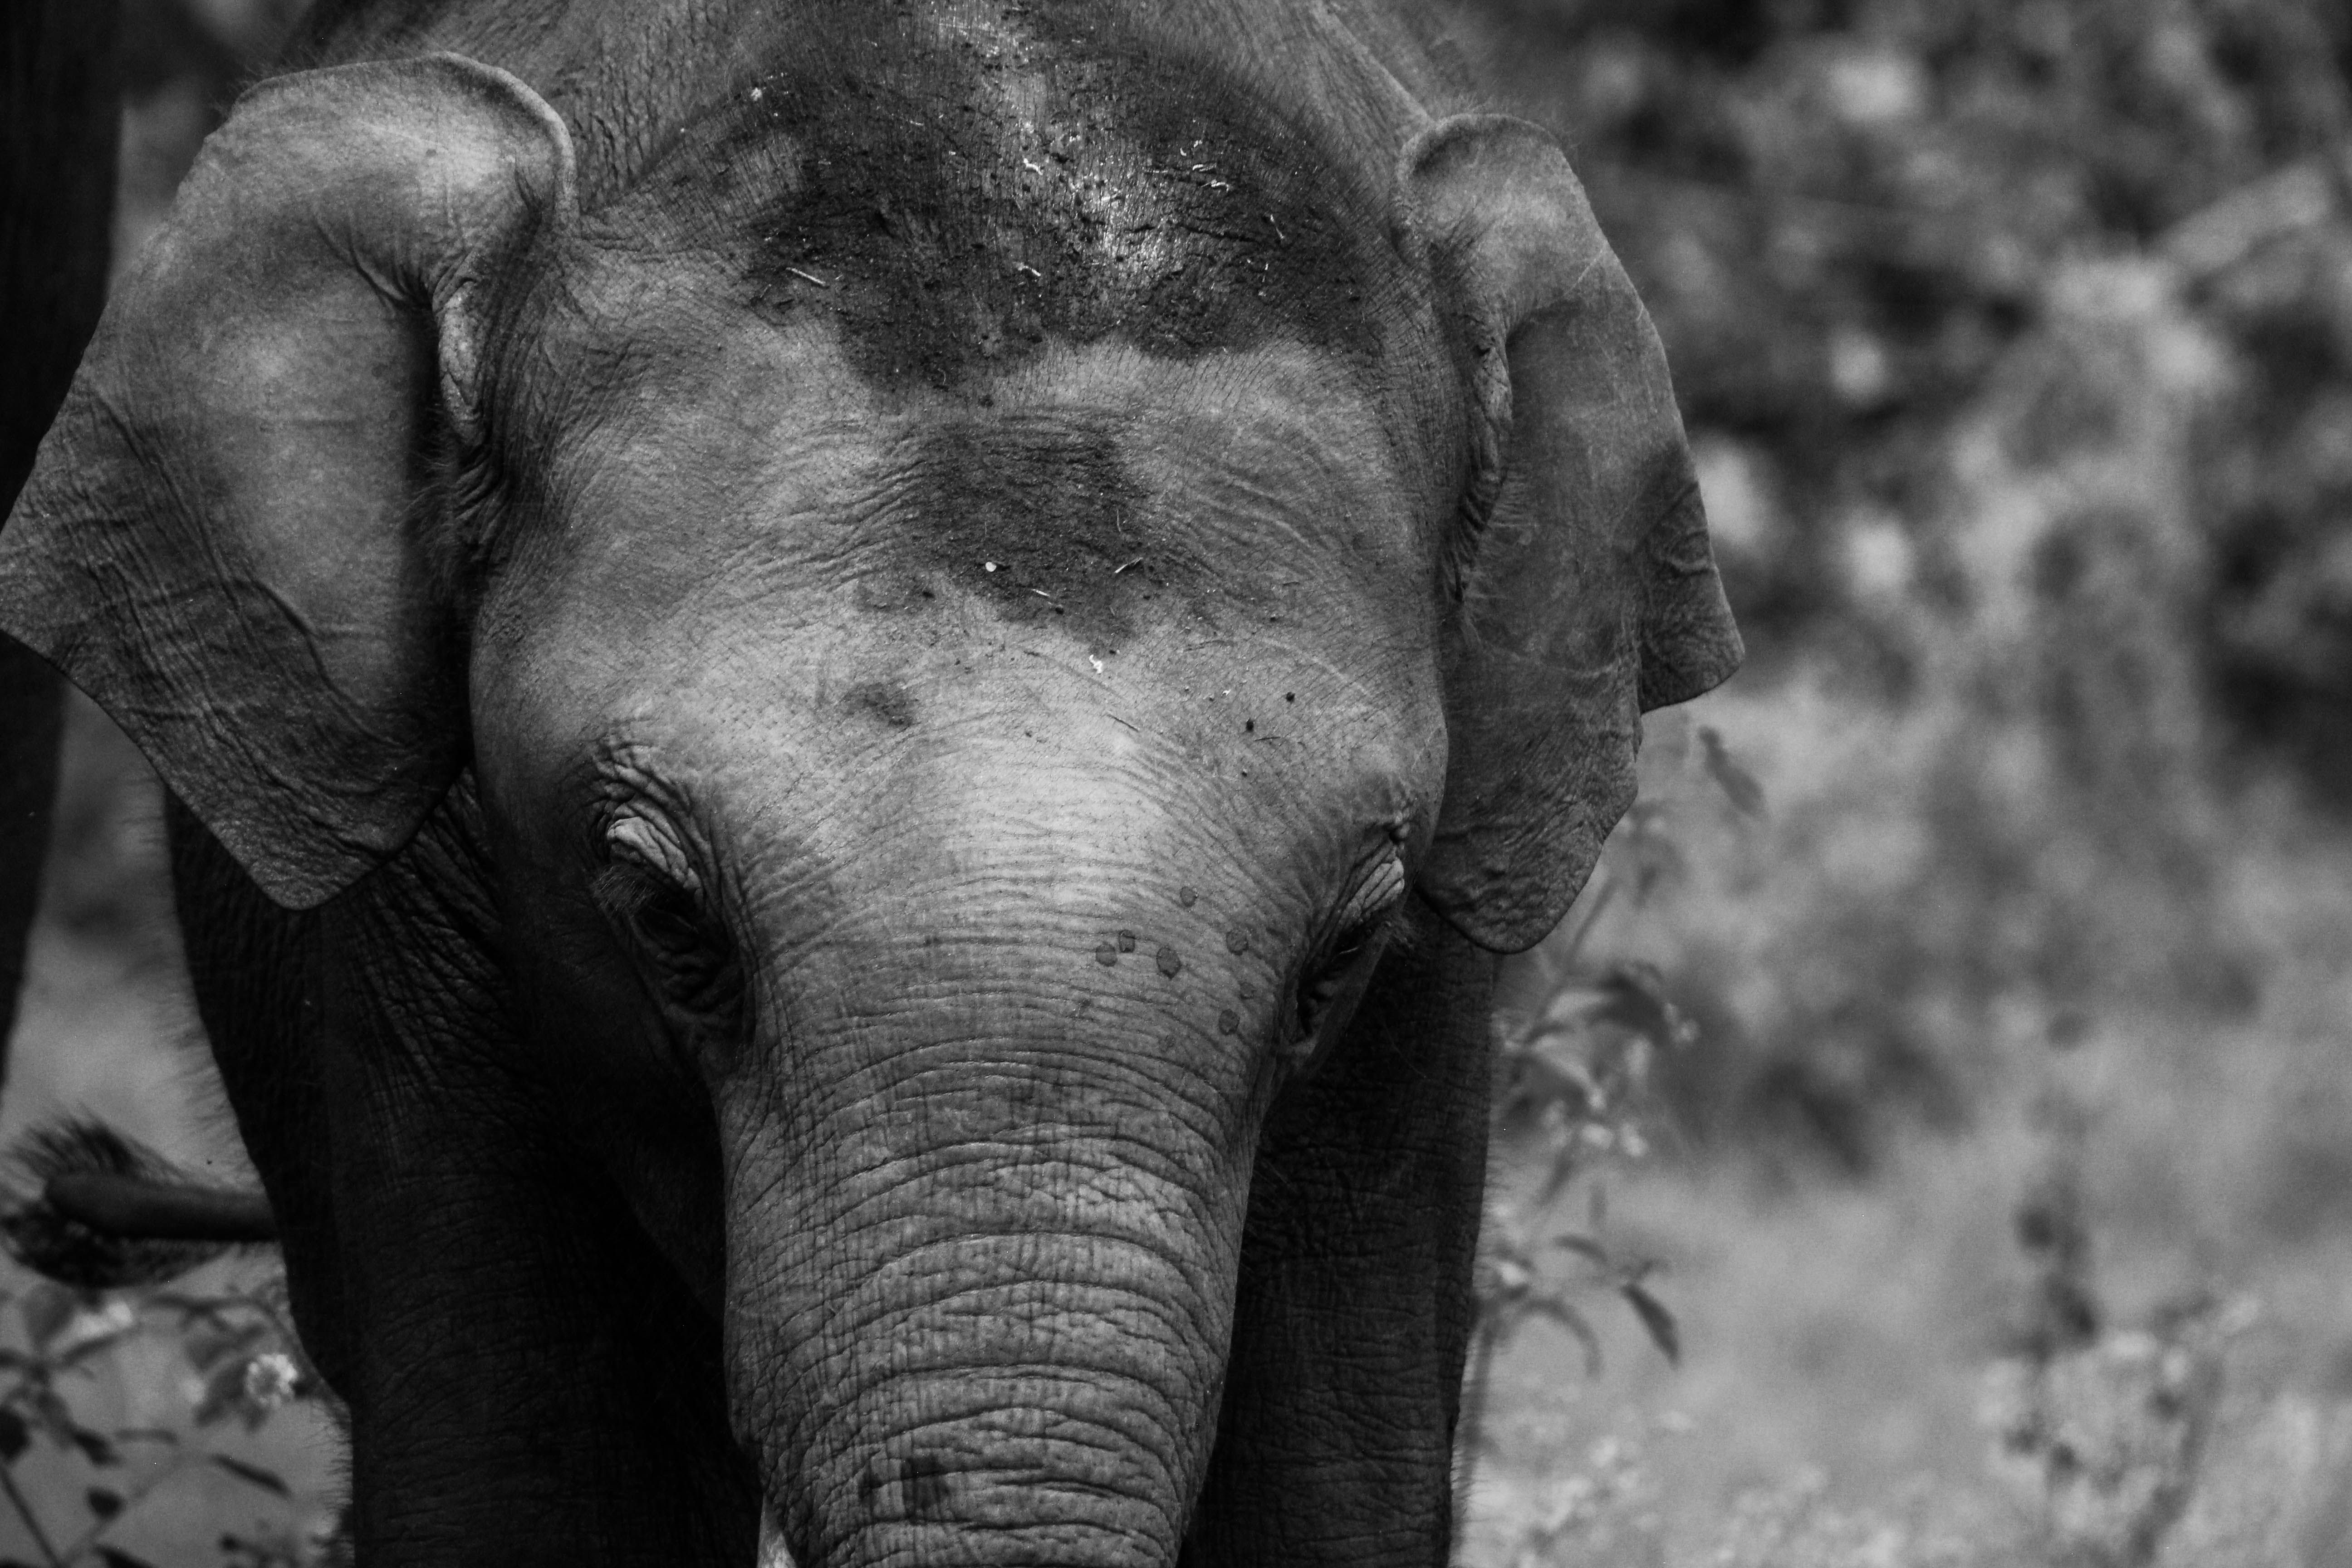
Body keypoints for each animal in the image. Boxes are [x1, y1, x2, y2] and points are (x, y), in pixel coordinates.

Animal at [0, 0, 1740, 1564]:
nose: (65, 1192)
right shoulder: (427, 909)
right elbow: (544, 1480)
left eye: (1345, 951)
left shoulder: (1421, 1008)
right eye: (662, 915)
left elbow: (1338, 1480)